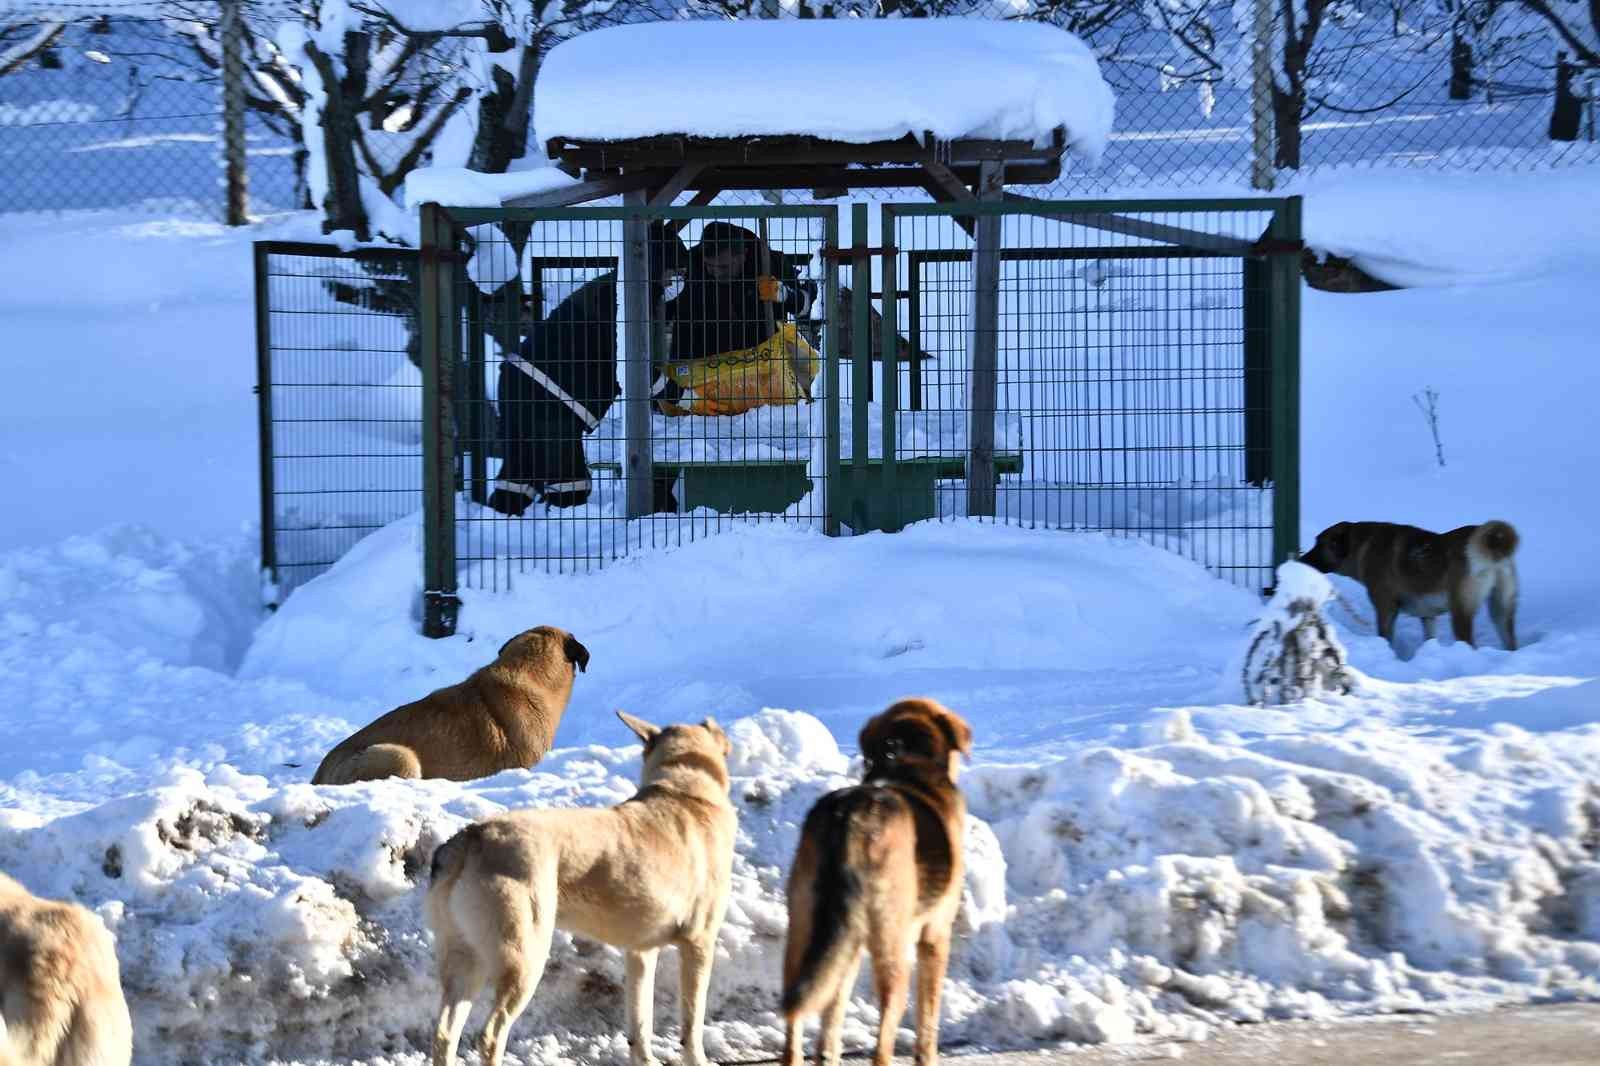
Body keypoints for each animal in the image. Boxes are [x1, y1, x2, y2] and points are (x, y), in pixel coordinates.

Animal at [419, 710, 732, 1062]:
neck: (684, 788)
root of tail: (471, 837)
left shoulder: (640, 953)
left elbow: (640, 1021)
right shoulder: (698, 943)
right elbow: (691, 1023)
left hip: (464, 961)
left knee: (445, 1034)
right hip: (524, 960)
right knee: (490, 1035)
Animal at [777, 694, 966, 1062]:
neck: (907, 759)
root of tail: (852, 816)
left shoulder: (846, 944)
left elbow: (831, 1017)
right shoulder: (935, 935)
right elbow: (928, 1020)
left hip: (805, 929)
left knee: (796, 1021)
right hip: (892, 945)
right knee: (884, 1038)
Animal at [1292, 515, 1516, 646]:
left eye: (1320, 544)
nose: (1299, 560)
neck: (1361, 546)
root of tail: (1494, 548)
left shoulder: (1386, 608)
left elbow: (1385, 636)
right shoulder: (1427, 616)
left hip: (1461, 612)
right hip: (1501, 611)